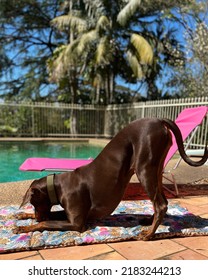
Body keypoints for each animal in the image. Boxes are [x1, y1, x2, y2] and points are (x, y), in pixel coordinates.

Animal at [13, 118, 207, 241]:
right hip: (156, 169)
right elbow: (49, 216)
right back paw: (148, 221)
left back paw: (149, 234)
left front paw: (25, 227)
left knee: (160, 204)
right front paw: (23, 215)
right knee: (162, 201)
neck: (58, 185)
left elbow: (46, 222)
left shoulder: (77, 223)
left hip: (144, 169)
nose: (36, 216)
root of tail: (159, 120)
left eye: (33, 202)